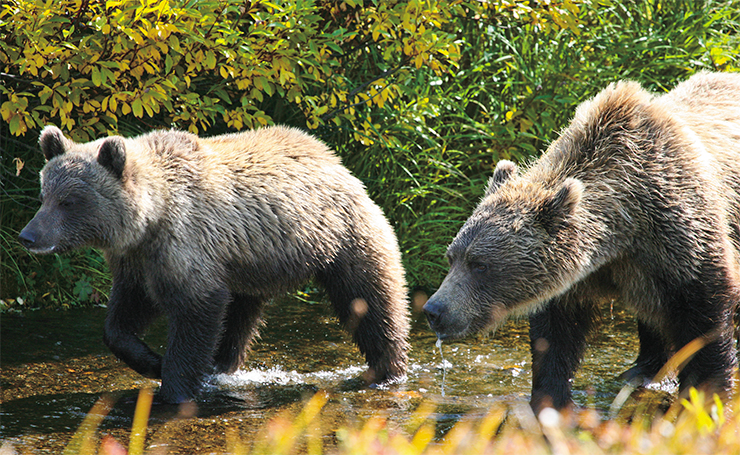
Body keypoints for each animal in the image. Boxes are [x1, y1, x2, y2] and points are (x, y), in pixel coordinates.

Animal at [19, 125, 410, 403]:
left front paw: (172, 388)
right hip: (249, 265)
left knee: (371, 299)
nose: (28, 235)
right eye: (44, 195)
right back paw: (222, 365)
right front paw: (151, 361)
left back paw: (388, 368)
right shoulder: (137, 262)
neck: (150, 220)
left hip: (342, 236)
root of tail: (336, 161)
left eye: (69, 201)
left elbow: (196, 311)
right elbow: (122, 318)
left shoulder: (186, 246)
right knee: (239, 318)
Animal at [422, 71, 740, 411]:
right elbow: (556, 335)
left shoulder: (680, 237)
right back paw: (643, 370)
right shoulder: (577, 277)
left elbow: (703, 318)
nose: (434, 310)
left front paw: (704, 395)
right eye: (451, 257)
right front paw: (551, 398)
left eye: (480, 264)